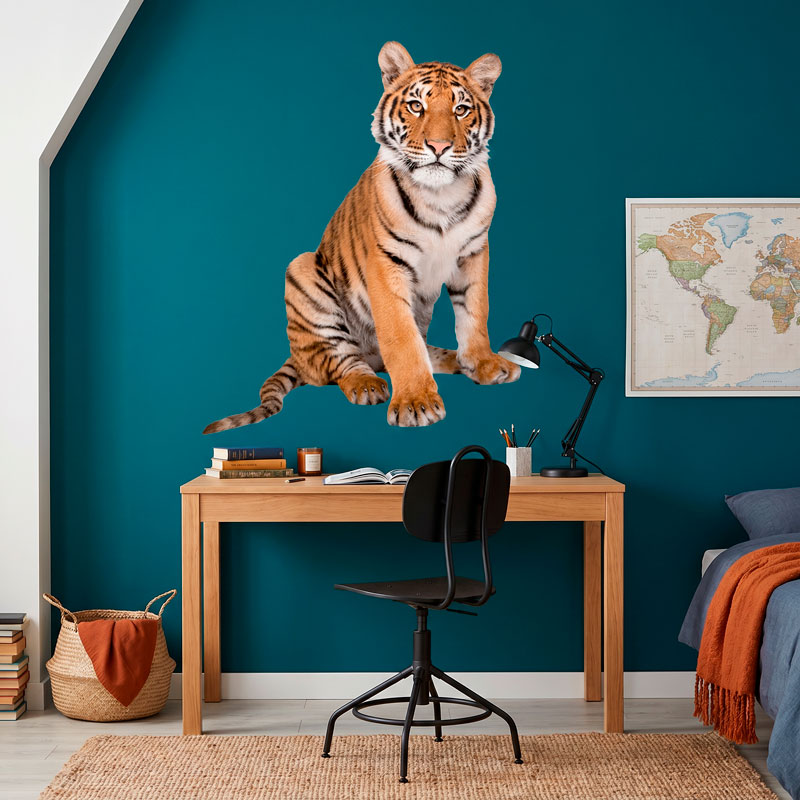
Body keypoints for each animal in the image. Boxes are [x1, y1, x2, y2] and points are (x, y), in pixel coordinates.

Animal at [203, 41, 520, 433]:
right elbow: (401, 337)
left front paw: (484, 363)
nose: (439, 146)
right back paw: (367, 383)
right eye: (417, 106)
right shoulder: (387, 263)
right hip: (303, 272)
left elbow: (475, 313)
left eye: (461, 109)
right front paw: (416, 402)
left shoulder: (473, 253)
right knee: (340, 362)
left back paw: (451, 359)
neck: (440, 195)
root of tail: (296, 355)